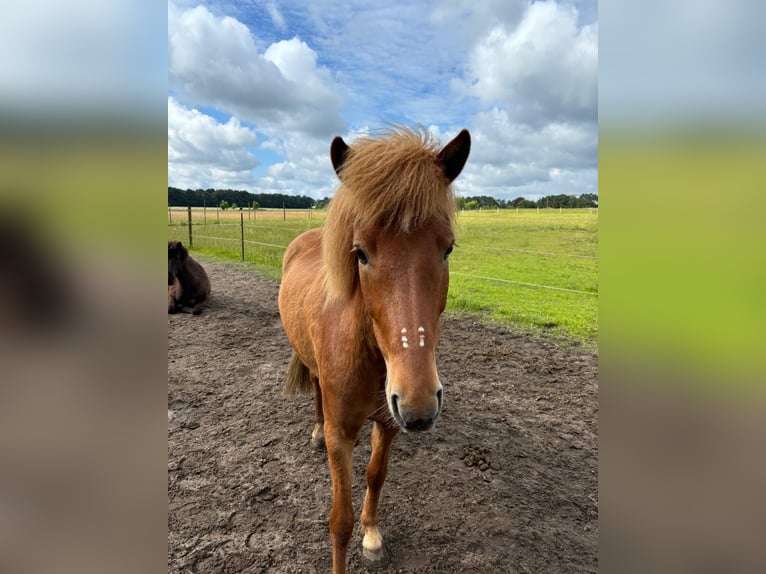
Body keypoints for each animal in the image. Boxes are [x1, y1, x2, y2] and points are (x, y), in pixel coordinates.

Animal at [278, 126, 470, 573]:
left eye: (448, 248)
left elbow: (374, 476)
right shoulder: (342, 435)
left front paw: (373, 535)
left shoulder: (387, 423)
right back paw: (313, 430)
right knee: (316, 392)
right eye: (361, 253)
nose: (419, 404)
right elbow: (339, 520)